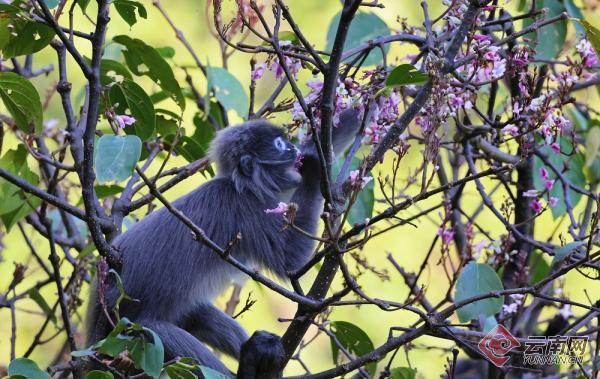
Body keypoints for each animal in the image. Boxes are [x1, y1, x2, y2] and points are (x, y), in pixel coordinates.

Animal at [88, 110, 360, 378]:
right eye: (280, 145)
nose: (294, 149)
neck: (239, 186)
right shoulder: (247, 209)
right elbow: (291, 260)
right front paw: (314, 165)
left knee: (200, 314)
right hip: (123, 329)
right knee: (154, 331)